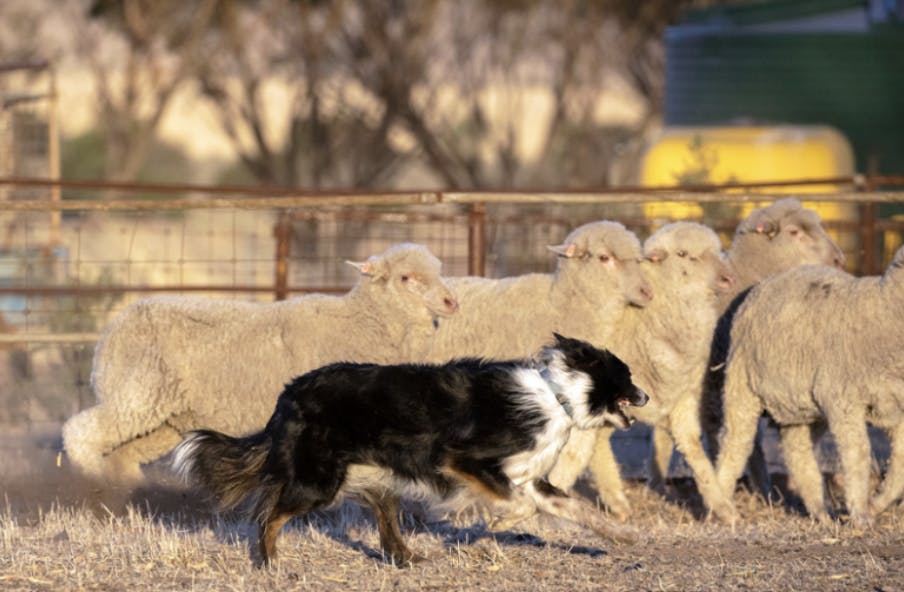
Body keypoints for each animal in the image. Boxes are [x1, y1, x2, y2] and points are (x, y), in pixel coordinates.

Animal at [61, 242, 460, 486]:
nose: (451, 302)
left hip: (165, 418)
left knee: (124, 455)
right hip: (138, 392)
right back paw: (93, 482)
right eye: (406, 278)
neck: (362, 321)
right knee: (80, 432)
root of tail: (110, 333)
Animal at [173, 336, 648, 568]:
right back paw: (270, 563)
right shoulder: (464, 459)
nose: (646, 396)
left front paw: (623, 536)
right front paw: (492, 525)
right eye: (627, 375)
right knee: (269, 515)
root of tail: (287, 395)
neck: (556, 395)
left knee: (386, 525)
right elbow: (518, 505)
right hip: (320, 481)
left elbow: (571, 508)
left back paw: (408, 559)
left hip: (376, 476)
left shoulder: (529, 476)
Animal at [548, 223, 740, 524]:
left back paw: (617, 502)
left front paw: (721, 507)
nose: (728, 278)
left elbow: (692, 447)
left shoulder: (684, 396)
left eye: (718, 250)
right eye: (682, 254)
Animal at [712, 245, 904, 528]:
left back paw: (821, 512)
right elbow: (858, 453)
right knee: (735, 442)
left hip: (801, 407)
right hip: (741, 384)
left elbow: (899, 463)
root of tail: (766, 283)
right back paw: (722, 507)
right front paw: (860, 513)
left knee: (798, 452)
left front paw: (876, 504)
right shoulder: (842, 400)